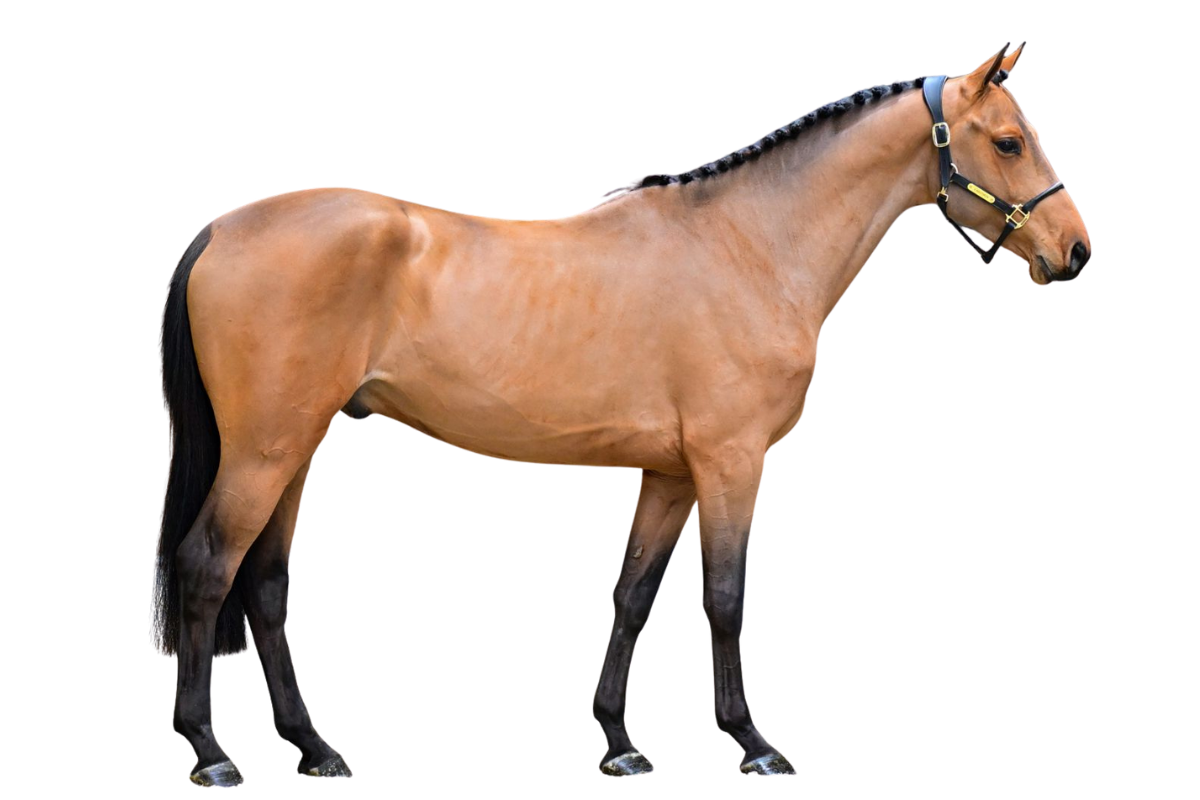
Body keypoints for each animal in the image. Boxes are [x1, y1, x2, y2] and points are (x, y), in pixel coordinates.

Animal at [152, 44, 1090, 785]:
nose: (1075, 252)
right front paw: (754, 744)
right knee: (207, 568)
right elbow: (724, 595)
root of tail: (222, 230)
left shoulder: (670, 474)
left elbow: (633, 596)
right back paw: (212, 755)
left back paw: (315, 750)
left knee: (267, 585)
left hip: (296, 447)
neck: (750, 247)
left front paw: (619, 742)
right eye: (1008, 140)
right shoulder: (731, 462)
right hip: (263, 452)